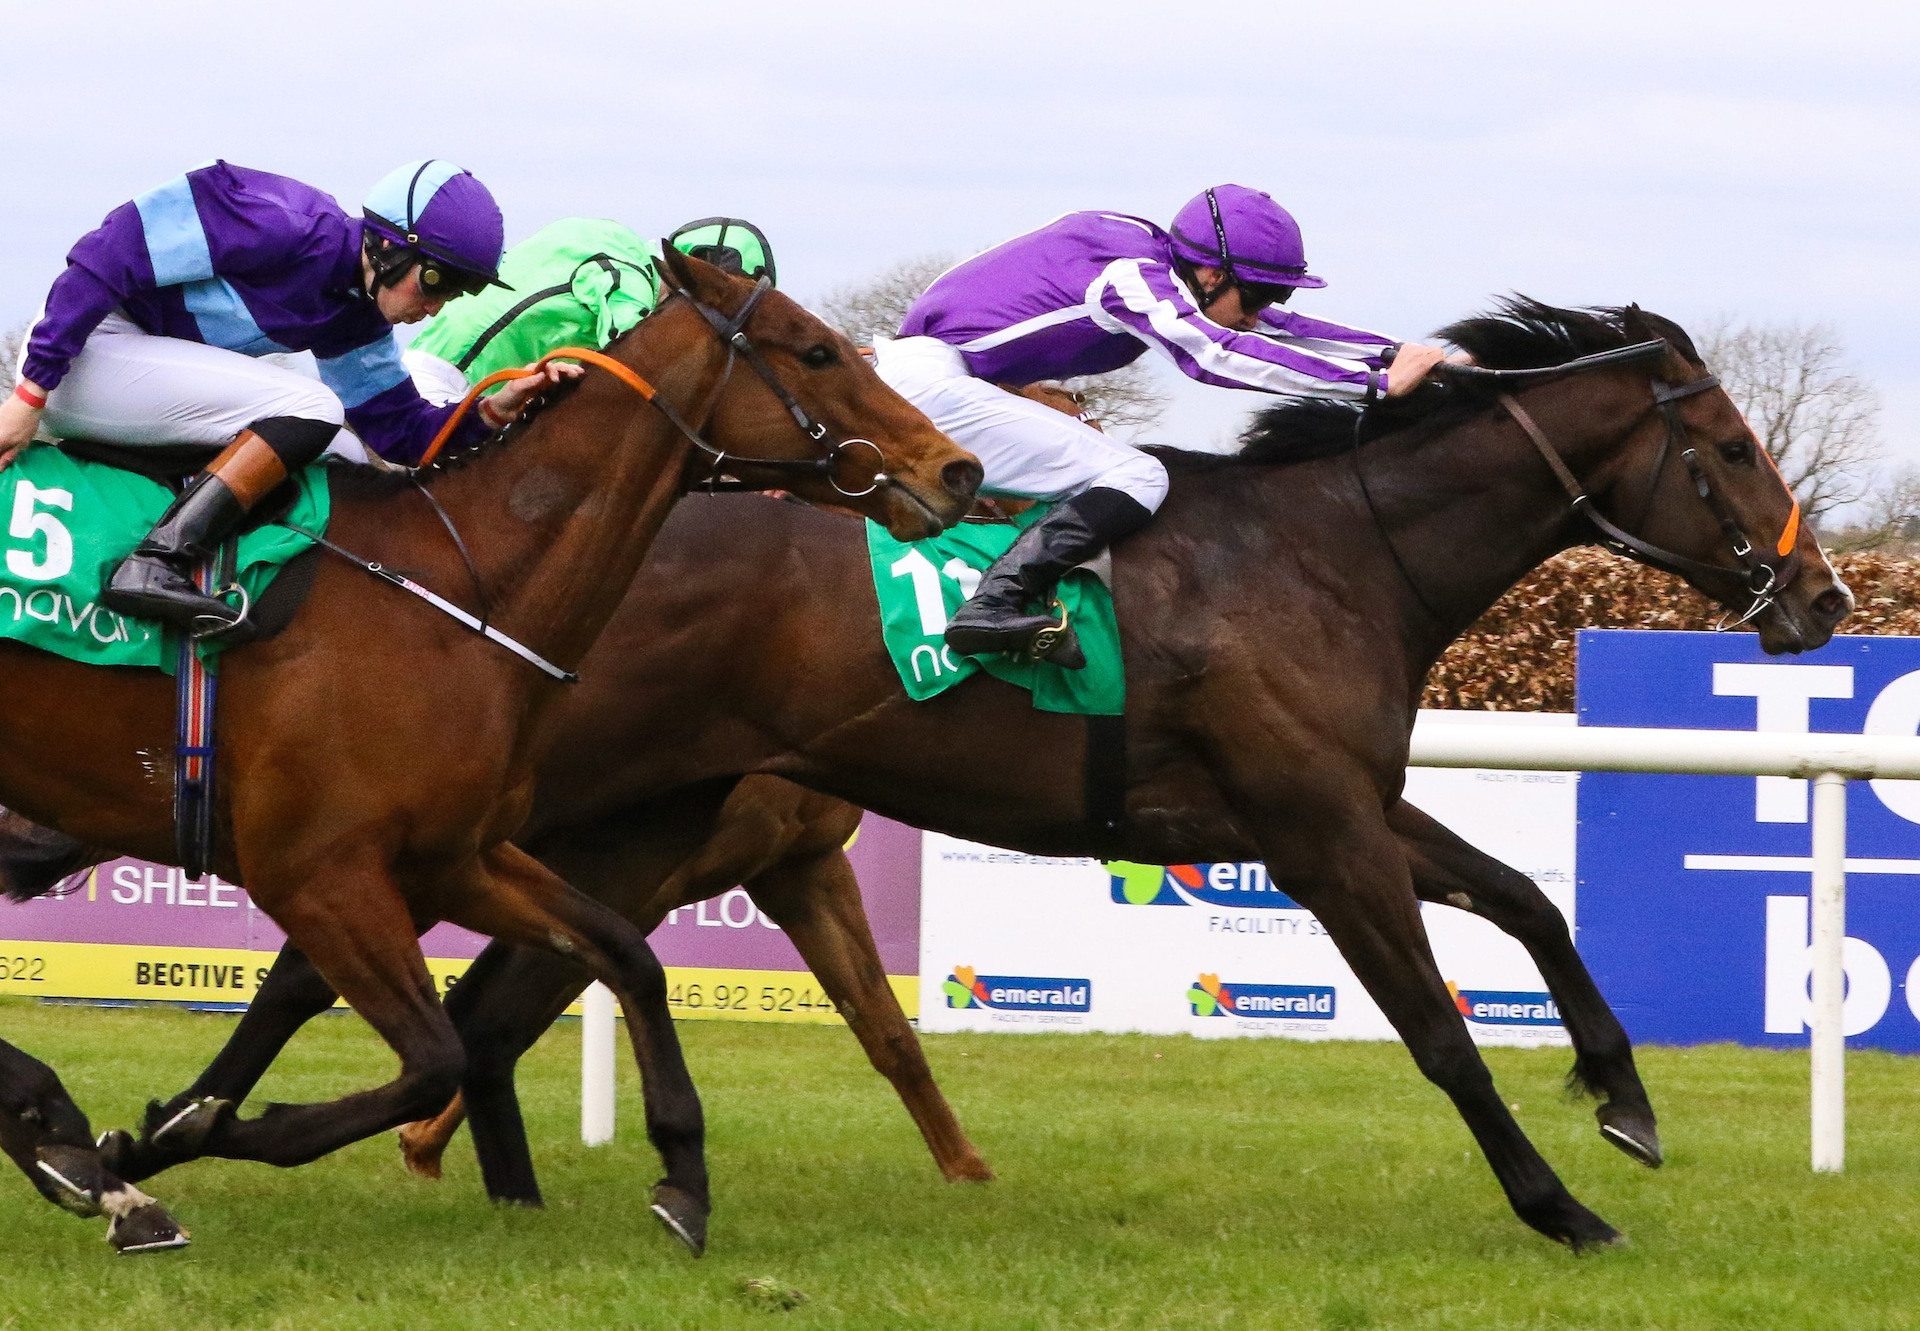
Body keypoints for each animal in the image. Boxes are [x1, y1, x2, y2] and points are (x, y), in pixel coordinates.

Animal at [0, 249, 975, 1244]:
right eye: (816, 350)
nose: (958, 469)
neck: (452, 589)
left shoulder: (454, 856)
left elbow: (623, 952)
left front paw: (683, 1174)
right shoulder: (316, 871)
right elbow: (436, 1053)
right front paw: (196, 1126)